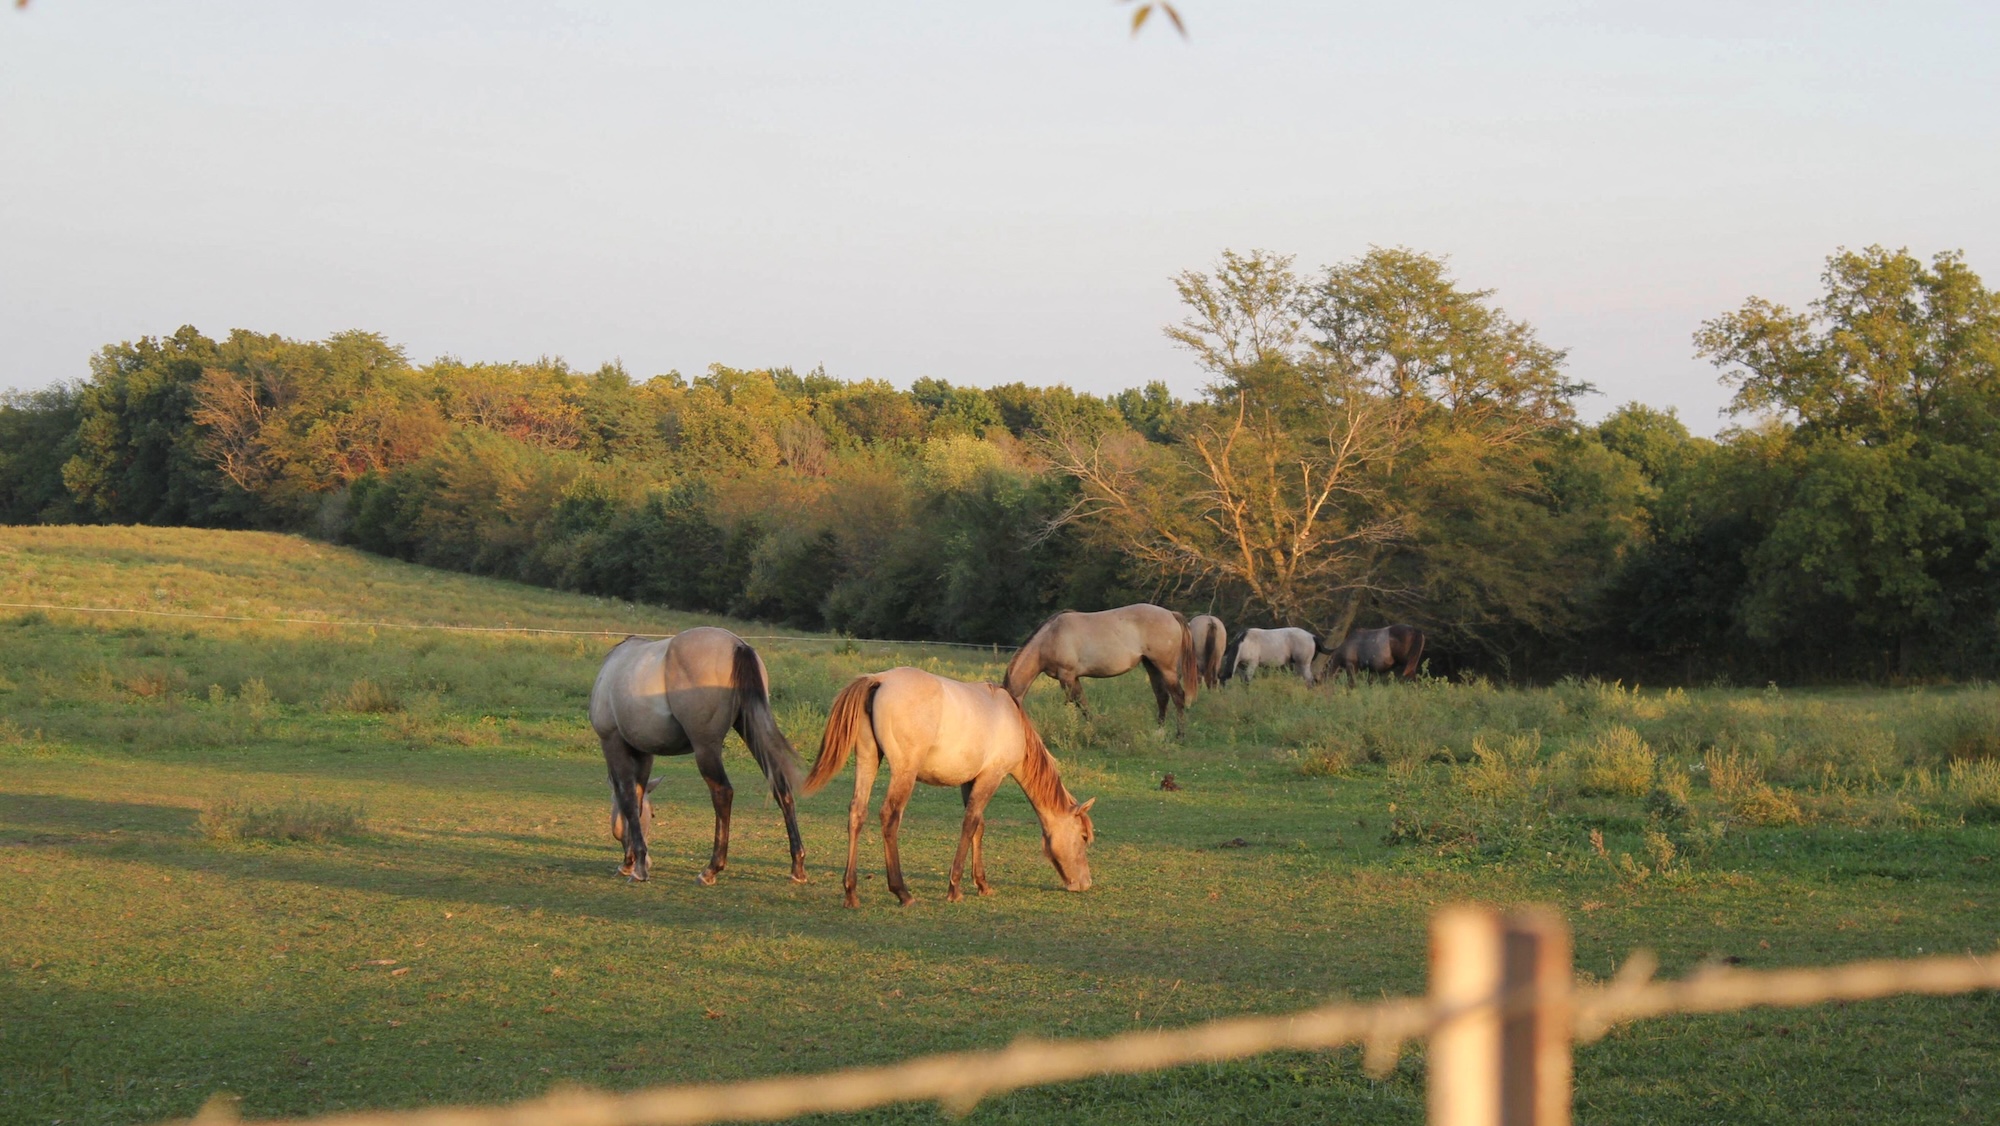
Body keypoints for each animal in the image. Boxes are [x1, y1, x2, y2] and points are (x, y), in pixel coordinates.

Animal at [588, 627, 806, 885]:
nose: (647, 861)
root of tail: (737, 646)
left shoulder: (612, 743)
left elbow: (628, 800)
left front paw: (635, 865)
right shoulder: (644, 753)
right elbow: (638, 800)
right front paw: (635, 861)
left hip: (706, 747)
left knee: (722, 792)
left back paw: (711, 869)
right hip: (751, 729)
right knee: (781, 788)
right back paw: (797, 866)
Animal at [803, 667, 1096, 908]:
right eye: (1083, 837)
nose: (1085, 884)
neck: (1012, 720)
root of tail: (879, 680)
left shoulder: (970, 781)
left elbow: (978, 826)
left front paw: (982, 883)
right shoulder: (992, 776)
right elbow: (969, 824)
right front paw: (954, 887)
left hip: (868, 759)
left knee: (857, 813)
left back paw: (851, 892)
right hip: (904, 772)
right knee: (890, 818)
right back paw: (902, 892)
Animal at [1002, 604, 1198, 734]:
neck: (1050, 638)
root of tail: (1171, 614)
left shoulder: (1067, 676)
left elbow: (1079, 704)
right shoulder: (1073, 678)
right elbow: (1082, 704)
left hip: (1166, 668)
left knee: (1178, 697)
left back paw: (1180, 735)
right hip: (1152, 666)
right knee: (1162, 697)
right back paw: (1159, 733)